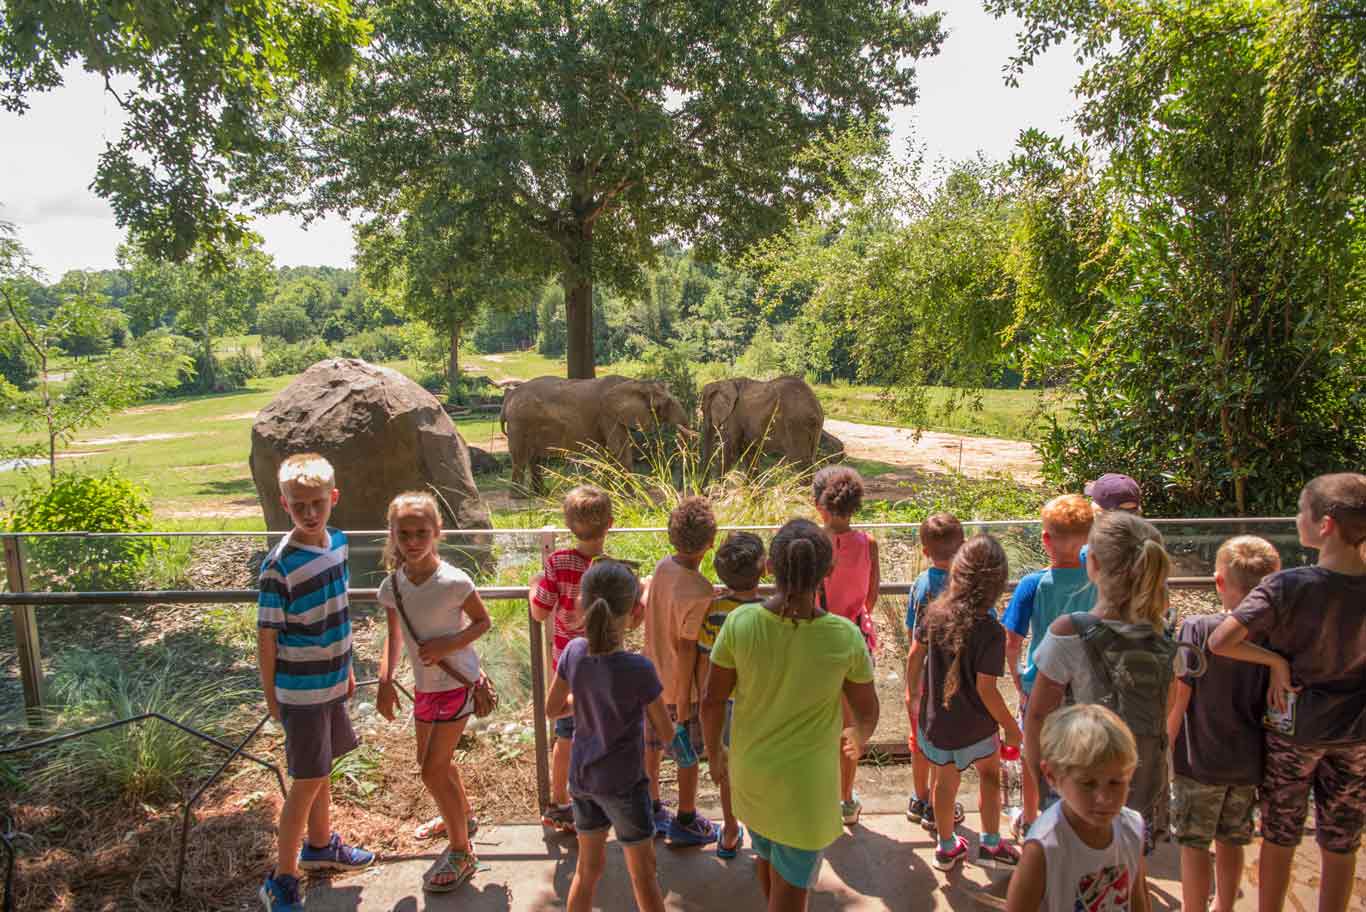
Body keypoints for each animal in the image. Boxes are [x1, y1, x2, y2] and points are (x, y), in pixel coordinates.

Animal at [499, 374, 693, 491]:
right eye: (667, 403)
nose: (679, 489)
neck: (633, 382)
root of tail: (509, 397)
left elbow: (611, 452)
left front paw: (609, 491)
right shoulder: (608, 414)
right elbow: (619, 451)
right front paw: (631, 495)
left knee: (534, 458)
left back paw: (541, 494)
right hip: (519, 423)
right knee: (520, 457)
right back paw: (520, 496)